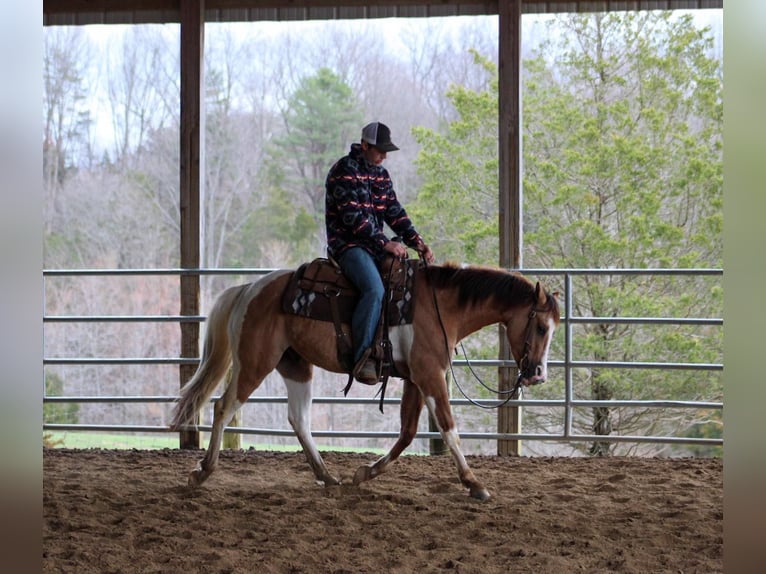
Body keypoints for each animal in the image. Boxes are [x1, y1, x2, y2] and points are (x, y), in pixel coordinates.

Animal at [171, 258, 560, 502]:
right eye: (541, 327)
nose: (538, 373)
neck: (443, 307)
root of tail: (250, 288)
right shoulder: (431, 375)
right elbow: (449, 429)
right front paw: (474, 483)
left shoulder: (415, 378)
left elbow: (407, 434)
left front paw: (364, 474)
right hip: (255, 362)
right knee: (223, 407)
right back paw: (202, 472)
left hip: (295, 366)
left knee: (299, 419)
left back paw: (328, 476)